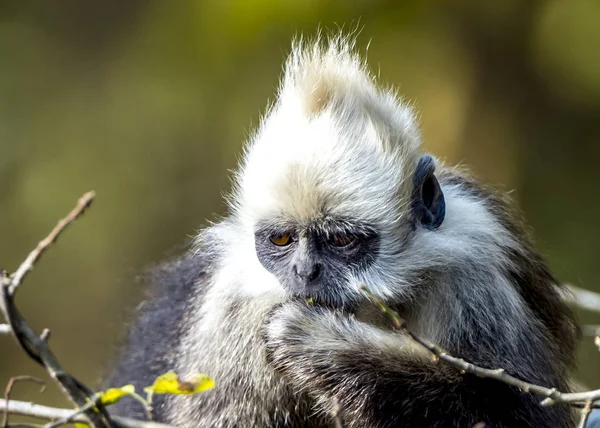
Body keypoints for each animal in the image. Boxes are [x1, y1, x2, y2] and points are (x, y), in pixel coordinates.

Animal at [105, 36, 580, 428]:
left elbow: (521, 413)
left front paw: (328, 346)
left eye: (341, 240)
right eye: (282, 240)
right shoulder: (233, 314)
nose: (304, 273)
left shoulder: (473, 276)